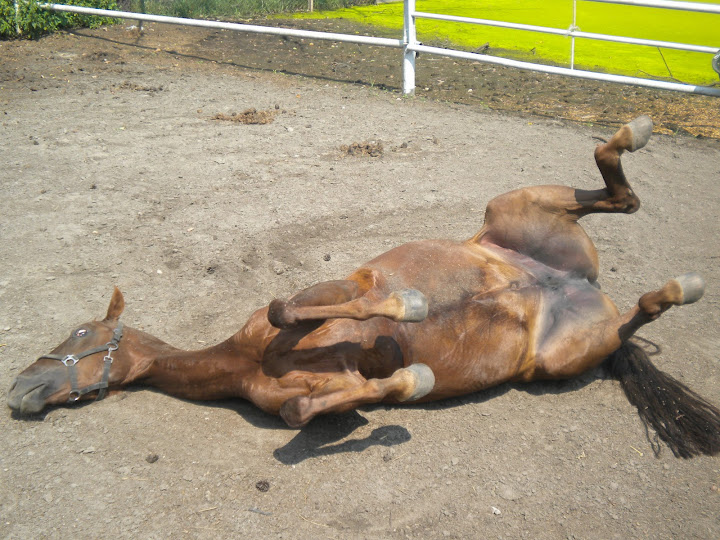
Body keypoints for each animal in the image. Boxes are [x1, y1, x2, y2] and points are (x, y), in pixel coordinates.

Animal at [8, 116, 720, 458]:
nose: (19, 387)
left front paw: (407, 304)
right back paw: (676, 287)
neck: (246, 361)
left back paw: (633, 135)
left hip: (511, 213)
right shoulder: (328, 395)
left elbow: (297, 305)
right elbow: (306, 410)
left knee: (616, 194)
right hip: (562, 341)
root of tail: (575, 283)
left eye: (79, 331)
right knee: (636, 303)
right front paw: (414, 380)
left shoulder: (331, 289)